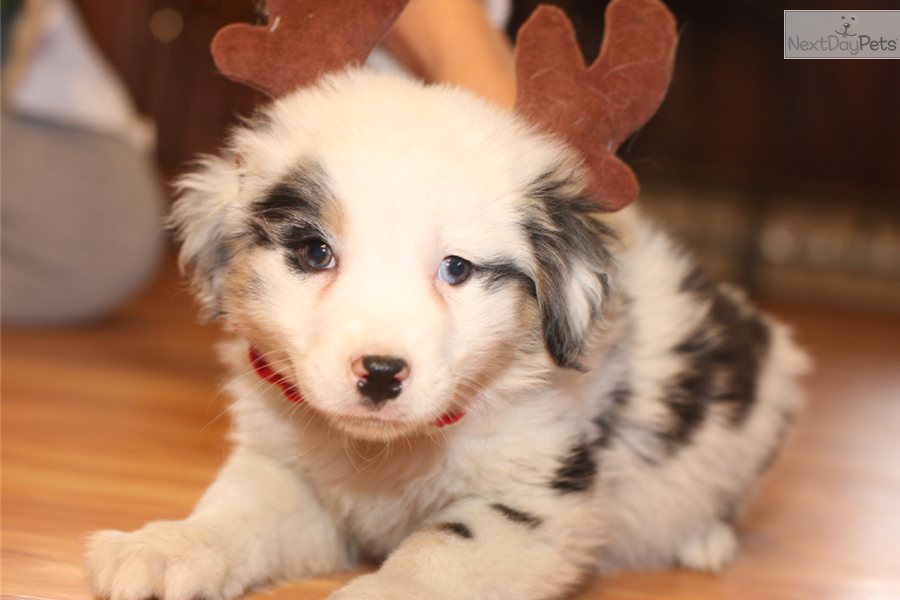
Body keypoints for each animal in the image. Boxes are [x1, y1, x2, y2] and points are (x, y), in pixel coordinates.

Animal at [86, 70, 808, 600]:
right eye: (316, 253)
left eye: (456, 268)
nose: (380, 373)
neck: (385, 457)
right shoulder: (285, 467)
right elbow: (237, 512)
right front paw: (165, 546)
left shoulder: (538, 501)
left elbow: (440, 552)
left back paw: (704, 538)